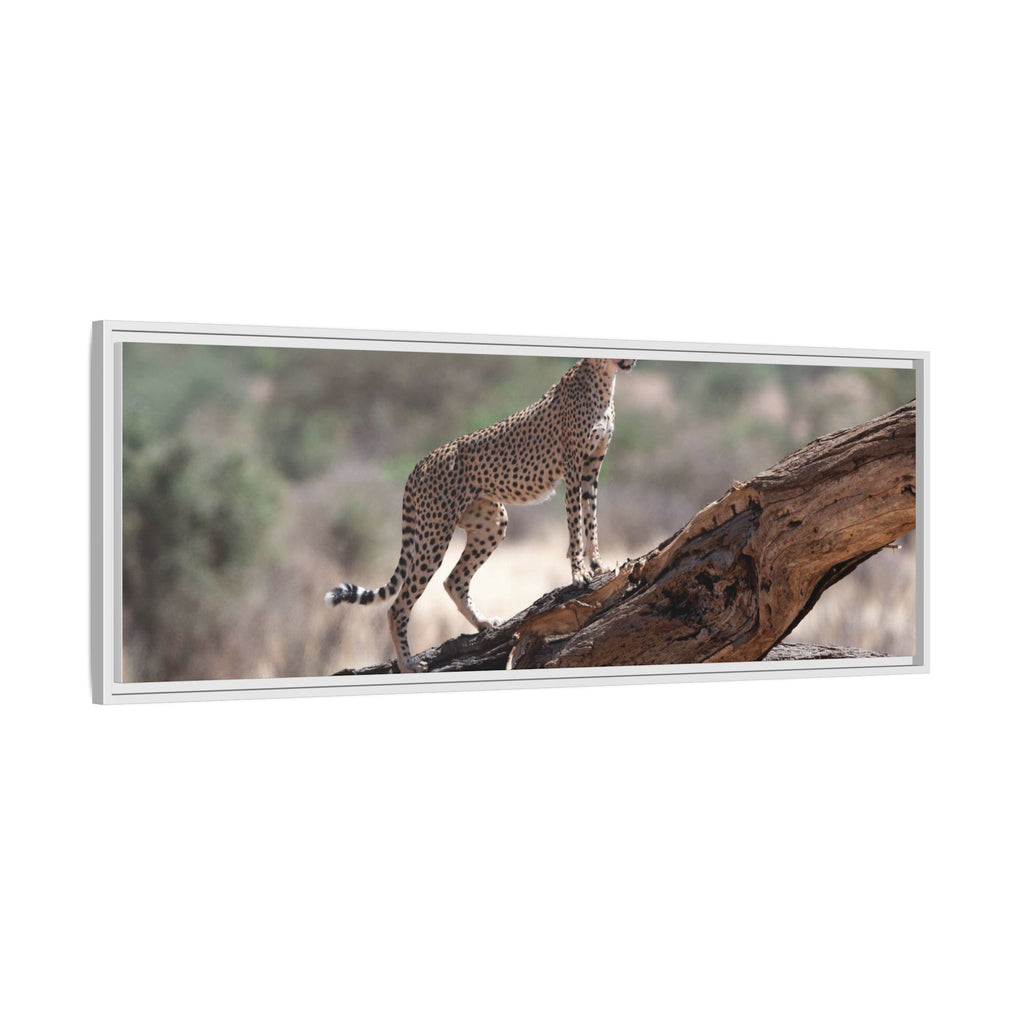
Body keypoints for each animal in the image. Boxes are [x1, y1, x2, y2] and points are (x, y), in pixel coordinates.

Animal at [324, 356, 636, 673]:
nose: (631, 361)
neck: (604, 379)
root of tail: (421, 462)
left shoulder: (592, 467)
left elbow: (591, 519)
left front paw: (598, 565)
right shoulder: (573, 467)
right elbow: (575, 523)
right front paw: (579, 573)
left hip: (491, 523)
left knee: (453, 581)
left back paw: (484, 623)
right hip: (435, 534)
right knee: (398, 605)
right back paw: (409, 664)